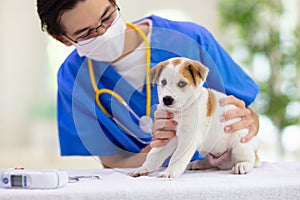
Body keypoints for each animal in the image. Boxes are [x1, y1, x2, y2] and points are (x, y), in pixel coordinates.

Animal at [131, 57, 260, 177]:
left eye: (182, 84)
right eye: (163, 82)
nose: (167, 99)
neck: (180, 112)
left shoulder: (188, 138)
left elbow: (177, 157)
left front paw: (169, 172)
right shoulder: (166, 135)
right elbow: (154, 155)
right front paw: (143, 169)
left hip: (240, 141)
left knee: (248, 159)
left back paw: (242, 165)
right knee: (215, 164)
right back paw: (198, 163)